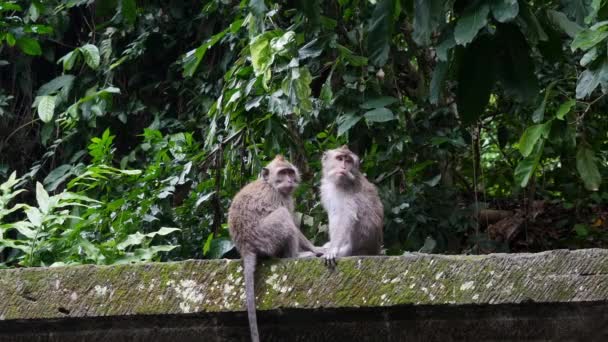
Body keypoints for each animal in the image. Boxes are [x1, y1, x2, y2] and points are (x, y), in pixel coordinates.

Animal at [227, 155, 324, 342]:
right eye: (282, 173)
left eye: (290, 172)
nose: (289, 180)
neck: (270, 184)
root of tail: (245, 246)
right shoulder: (280, 198)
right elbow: (291, 222)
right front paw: (316, 249)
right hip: (266, 237)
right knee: (283, 216)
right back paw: (294, 256)